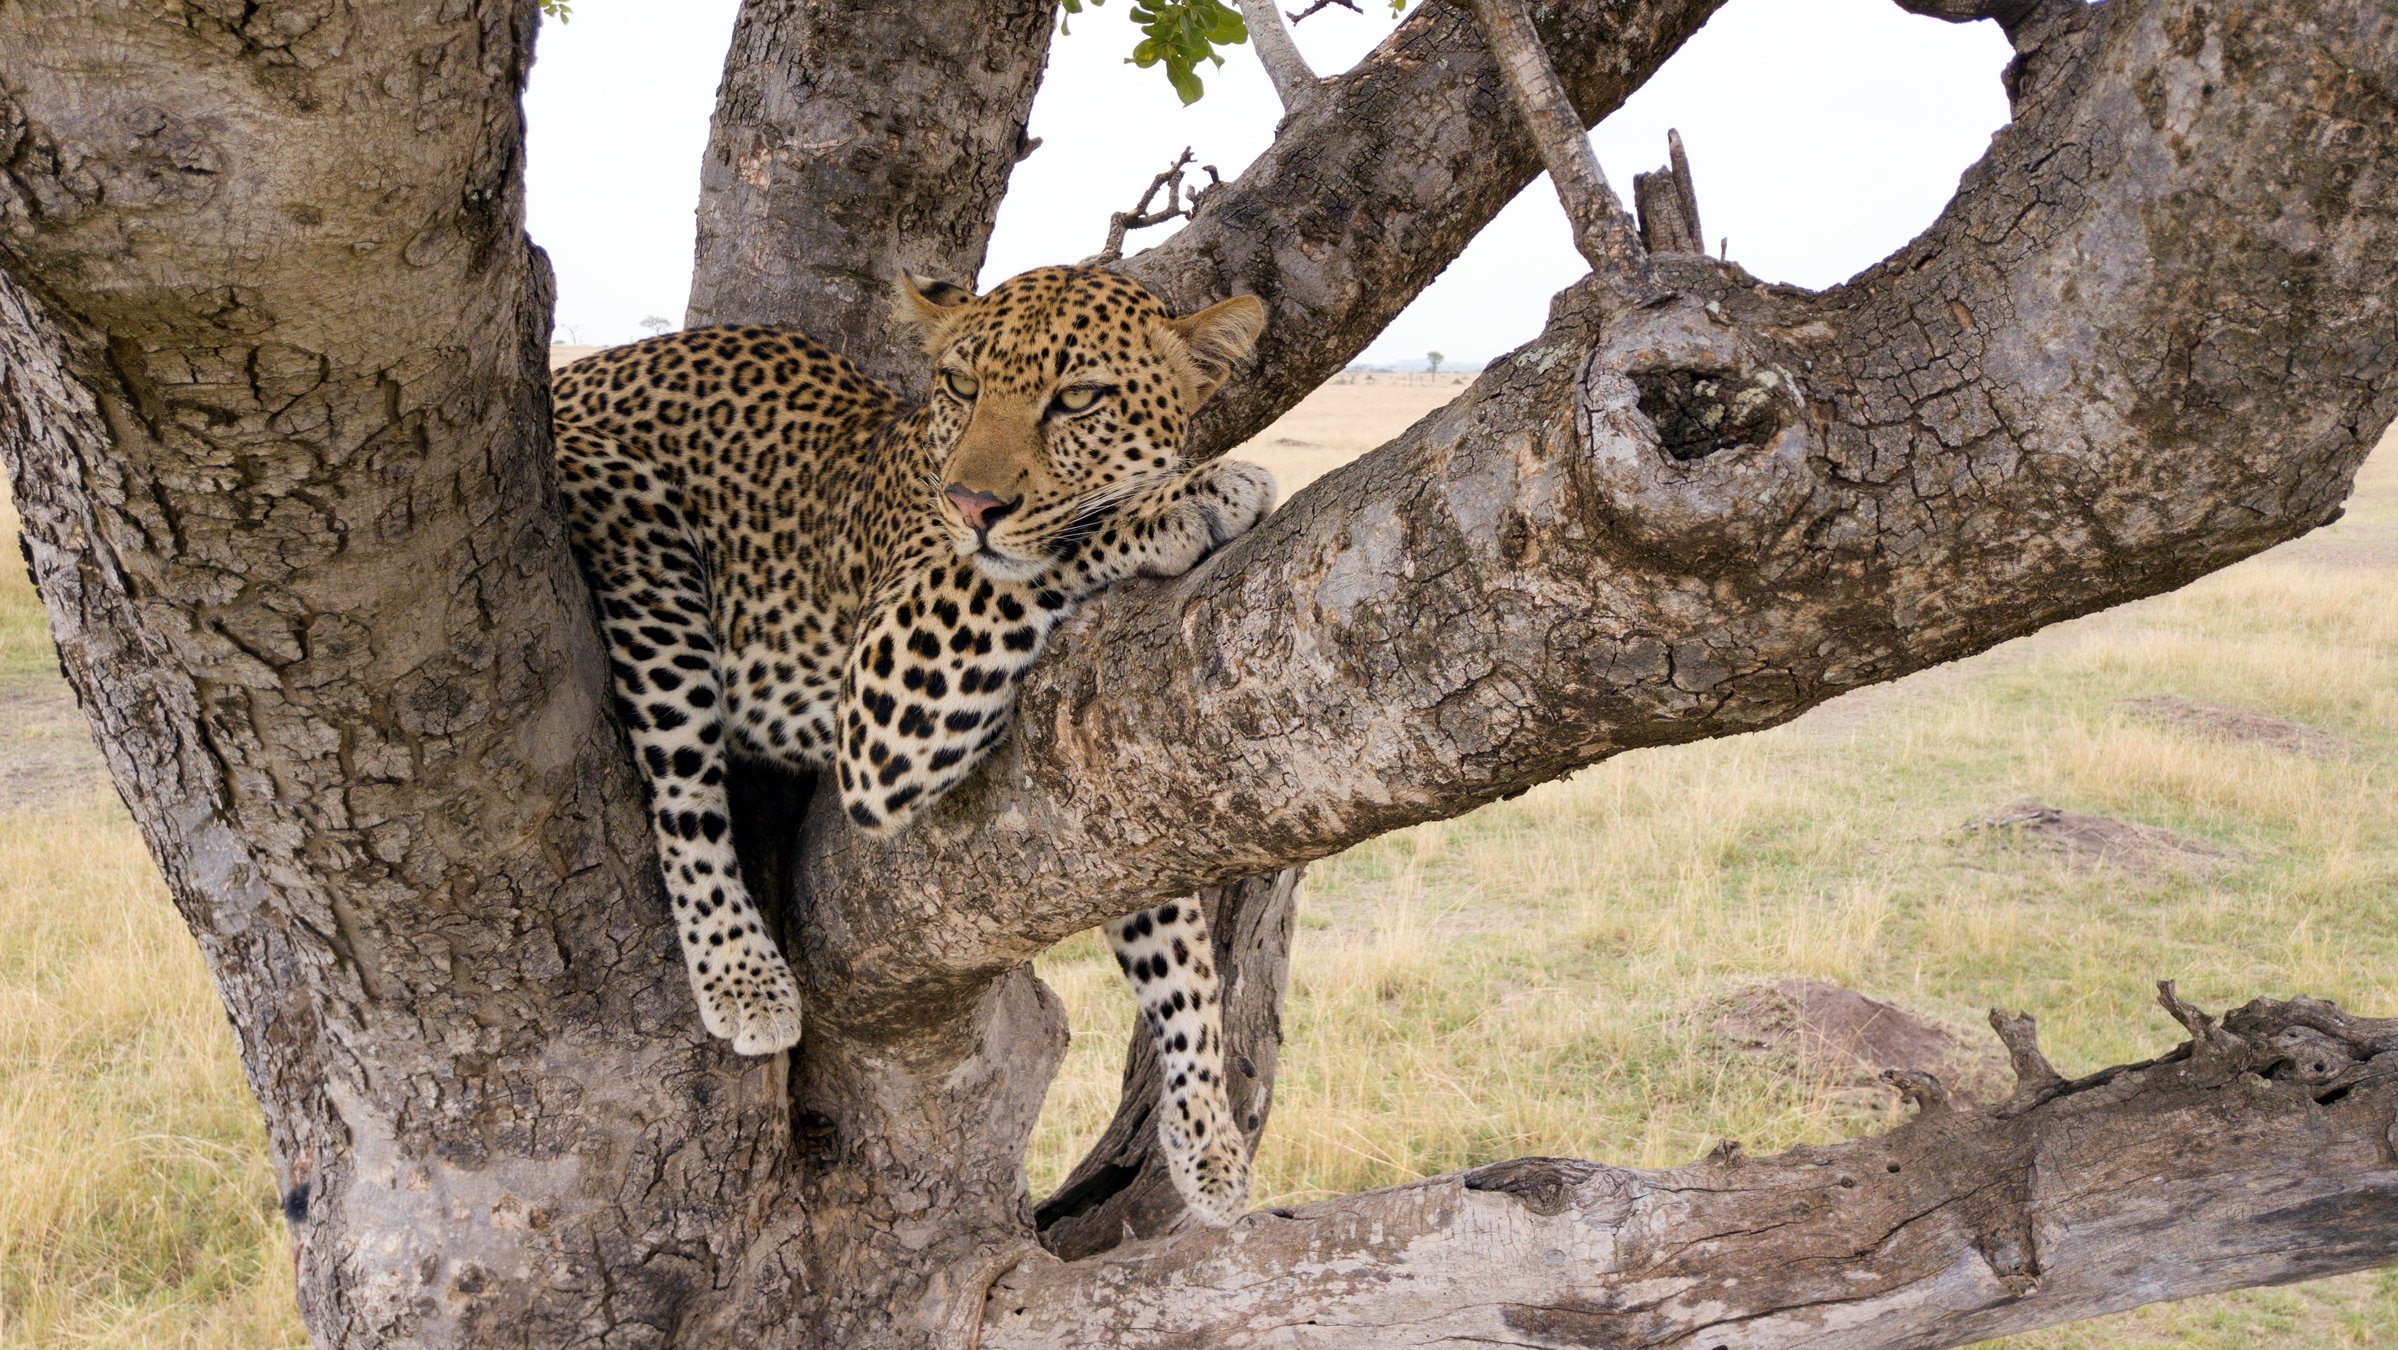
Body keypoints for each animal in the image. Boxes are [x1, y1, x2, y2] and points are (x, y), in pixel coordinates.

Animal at [550, 264, 1276, 1226]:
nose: (972, 505)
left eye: (1078, 399)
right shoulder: (884, 693)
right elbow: (1024, 557)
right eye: (962, 386)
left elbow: (1181, 956)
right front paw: (1188, 496)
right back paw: (743, 974)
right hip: (637, 527)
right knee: (681, 789)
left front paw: (1208, 1142)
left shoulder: (1105, 803)